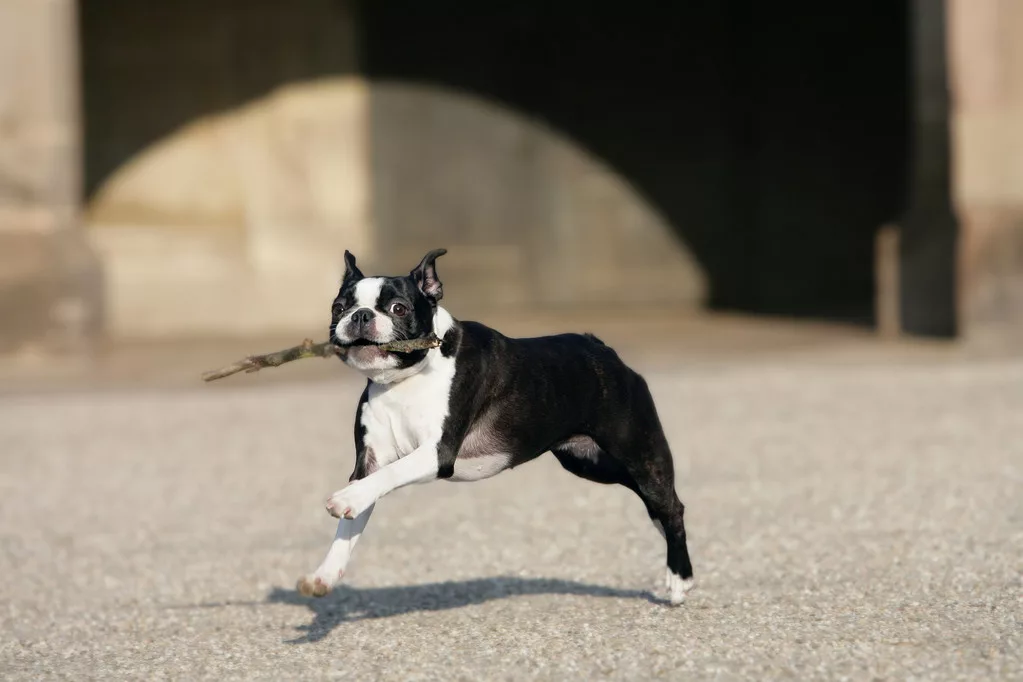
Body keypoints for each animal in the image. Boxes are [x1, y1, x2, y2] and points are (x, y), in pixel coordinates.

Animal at [296, 248, 695, 605]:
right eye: (339, 307)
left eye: (398, 308)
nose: (361, 316)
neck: (403, 381)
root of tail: (603, 349)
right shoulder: (370, 462)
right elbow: (349, 527)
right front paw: (324, 576)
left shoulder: (437, 454)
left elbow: (386, 477)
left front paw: (346, 499)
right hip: (589, 462)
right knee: (655, 505)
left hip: (639, 452)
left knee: (669, 504)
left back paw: (680, 581)